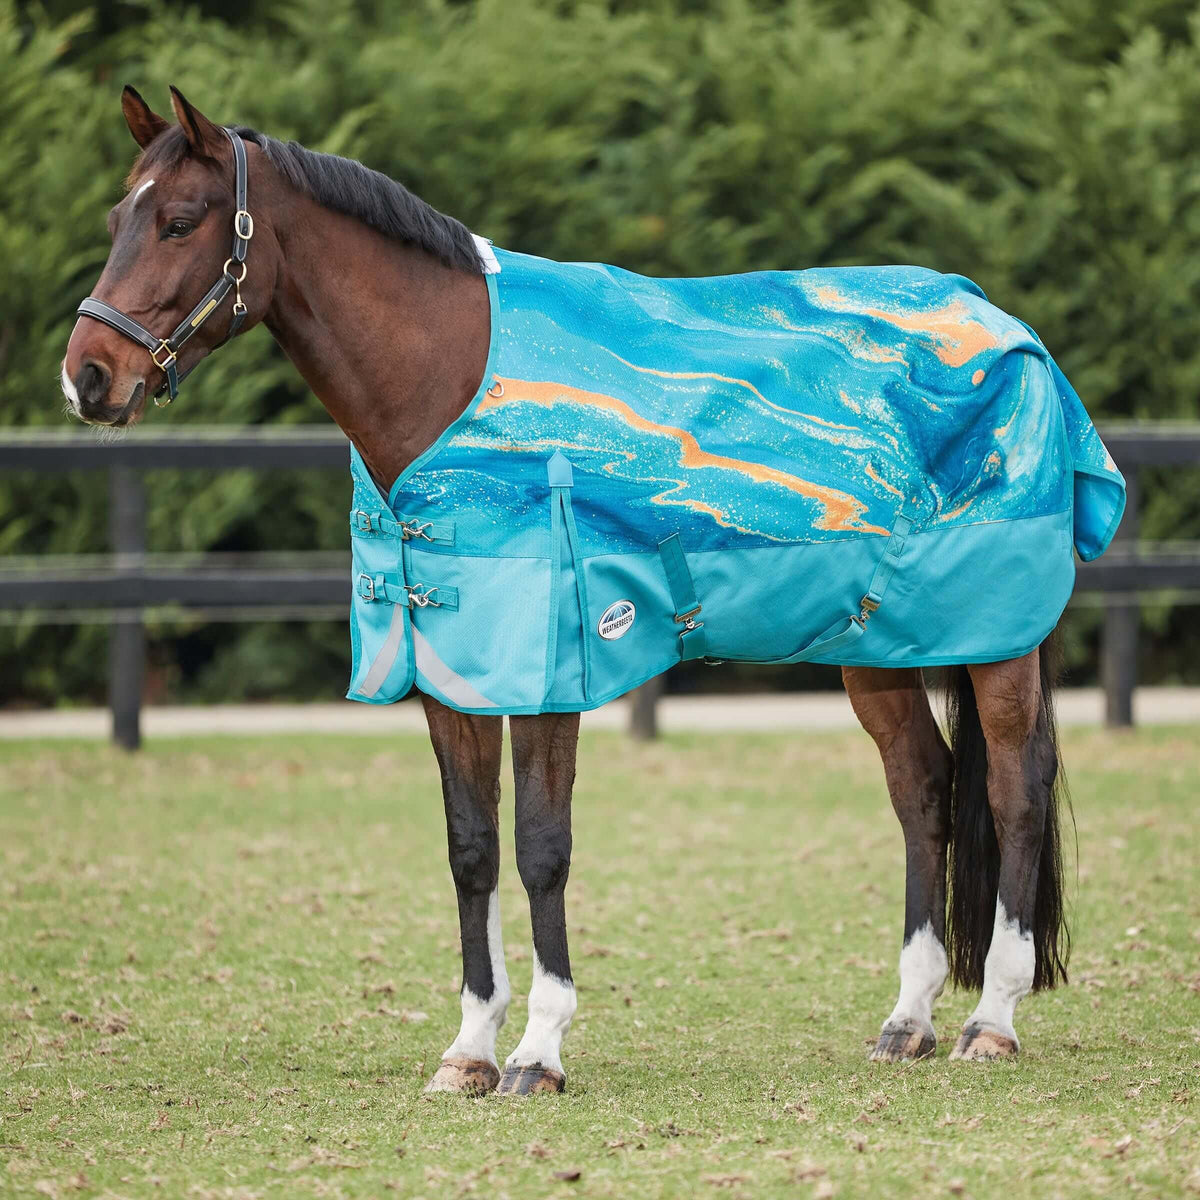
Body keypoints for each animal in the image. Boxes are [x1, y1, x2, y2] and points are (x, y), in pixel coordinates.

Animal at [62, 86, 1123, 1095]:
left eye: (182, 220)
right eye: (119, 214)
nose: (88, 377)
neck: (452, 386)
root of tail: (1005, 327)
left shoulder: (548, 673)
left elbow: (542, 846)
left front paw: (539, 1050)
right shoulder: (452, 673)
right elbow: (472, 847)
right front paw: (468, 1051)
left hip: (995, 639)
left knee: (1016, 789)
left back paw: (991, 1021)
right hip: (877, 645)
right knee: (925, 791)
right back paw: (908, 1020)